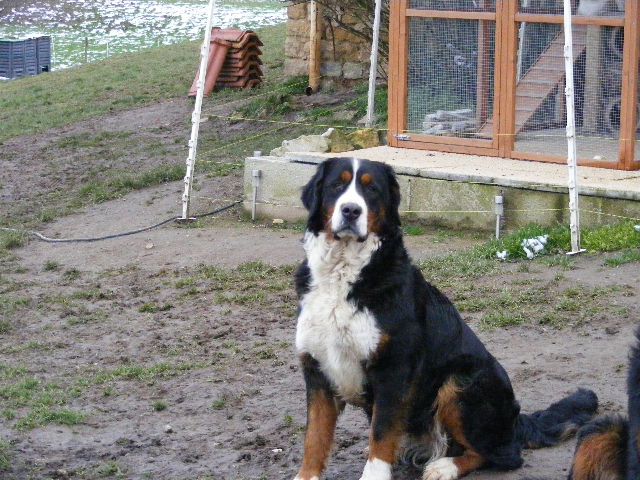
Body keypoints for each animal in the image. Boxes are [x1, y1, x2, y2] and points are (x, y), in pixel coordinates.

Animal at [292, 158, 596, 480]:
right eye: (337, 185)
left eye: (371, 189)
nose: (351, 210)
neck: (342, 275)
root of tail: (515, 422)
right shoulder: (317, 367)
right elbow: (315, 435)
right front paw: (307, 475)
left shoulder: (393, 369)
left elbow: (382, 433)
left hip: (460, 383)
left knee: (502, 455)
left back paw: (444, 467)